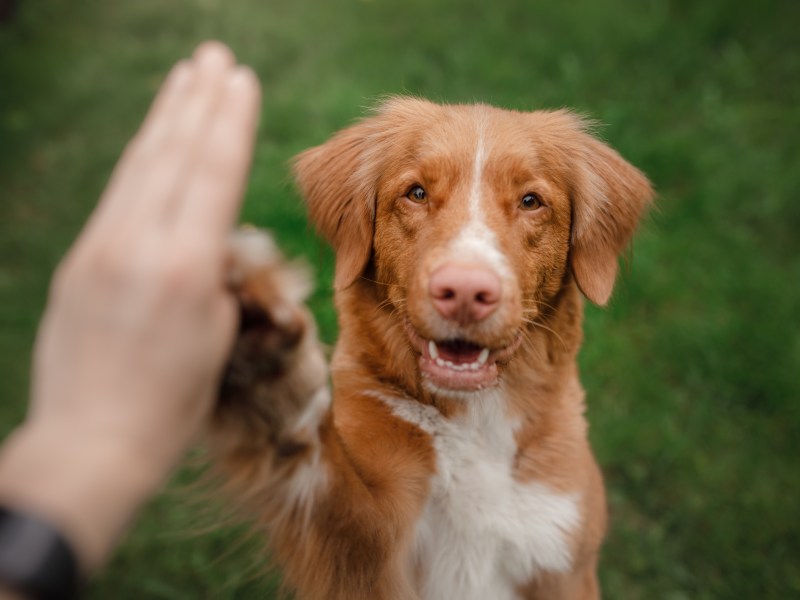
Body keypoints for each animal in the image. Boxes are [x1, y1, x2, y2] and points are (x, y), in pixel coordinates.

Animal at [209, 98, 652, 600]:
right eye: (416, 193)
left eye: (531, 201)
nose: (465, 291)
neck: (475, 419)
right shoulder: (372, 553)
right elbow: (324, 478)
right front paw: (270, 374)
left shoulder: (566, 560)